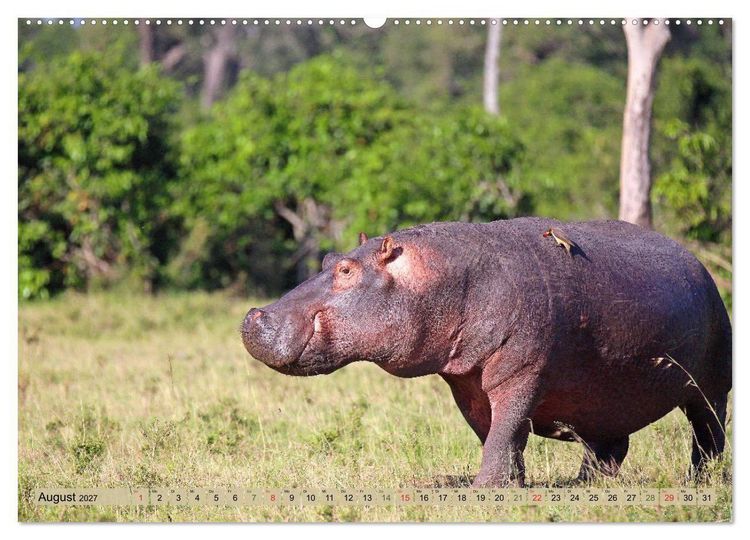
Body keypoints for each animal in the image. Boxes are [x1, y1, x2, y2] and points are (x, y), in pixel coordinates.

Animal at [241, 218, 731, 486]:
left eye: (346, 270)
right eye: (327, 259)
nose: (253, 316)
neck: (444, 278)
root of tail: (699, 263)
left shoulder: (522, 373)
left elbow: (506, 427)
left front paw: (484, 489)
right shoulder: (467, 383)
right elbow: (495, 433)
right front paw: (512, 484)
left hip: (710, 386)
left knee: (708, 434)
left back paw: (698, 482)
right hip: (605, 395)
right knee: (609, 445)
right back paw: (583, 485)